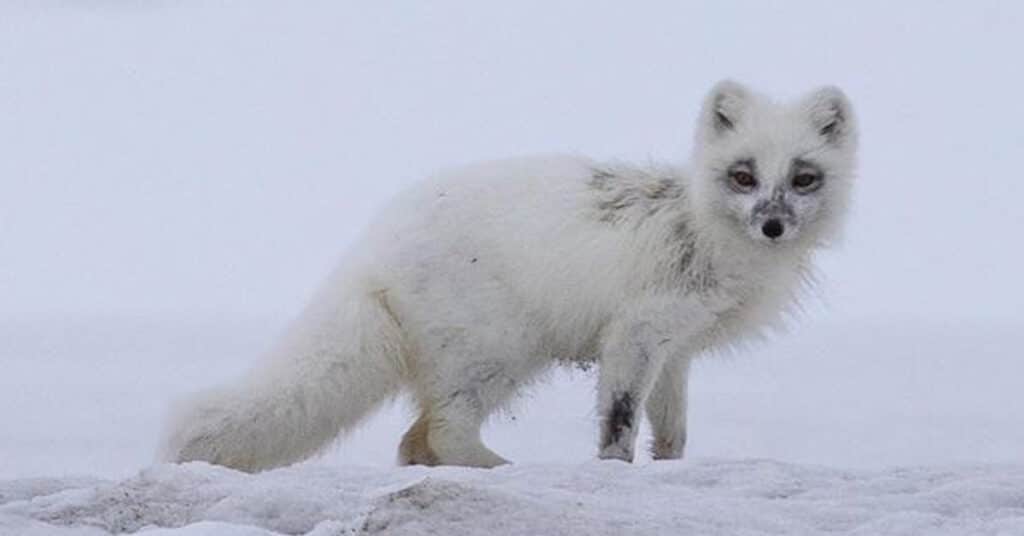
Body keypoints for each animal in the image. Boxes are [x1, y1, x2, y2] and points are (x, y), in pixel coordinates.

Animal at [163, 79, 860, 469]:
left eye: (803, 177)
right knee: (440, 433)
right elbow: (618, 424)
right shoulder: (633, 334)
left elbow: (673, 435)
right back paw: (505, 468)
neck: (705, 231)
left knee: (416, 441)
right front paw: (613, 471)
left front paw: (665, 472)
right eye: (743, 176)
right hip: (500, 354)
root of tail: (372, 244)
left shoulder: (676, 348)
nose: (773, 225)